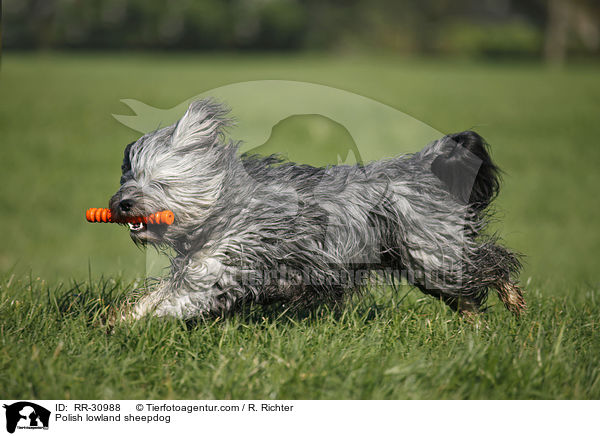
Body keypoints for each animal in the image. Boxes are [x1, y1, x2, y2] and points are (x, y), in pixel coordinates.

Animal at [109, 99, 524, 320]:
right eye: (128, 176)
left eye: (160, 182)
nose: (123, 204)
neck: (224, 205)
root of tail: (426, 164)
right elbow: (158, 295)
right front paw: (125, 319)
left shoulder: (224, 266)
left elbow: (177, 301)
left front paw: (135, 326)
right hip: (423, 263)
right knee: (469, 294)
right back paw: (477, 324)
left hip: (434, 255)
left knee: (494, 263)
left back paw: (514, 304)